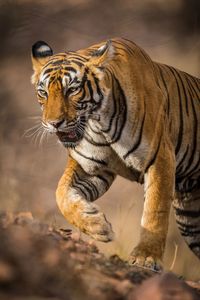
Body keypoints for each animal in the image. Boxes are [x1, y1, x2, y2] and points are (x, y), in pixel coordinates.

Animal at [30, 38, 199, 270]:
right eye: (43, 92)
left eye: (72, 89)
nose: (54, 123)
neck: (99, 124)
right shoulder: (91, 168)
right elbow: (61, 193)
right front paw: (96, 225)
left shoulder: (159, 157)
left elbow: (155, 209)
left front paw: (146, 257)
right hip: (190, 217)